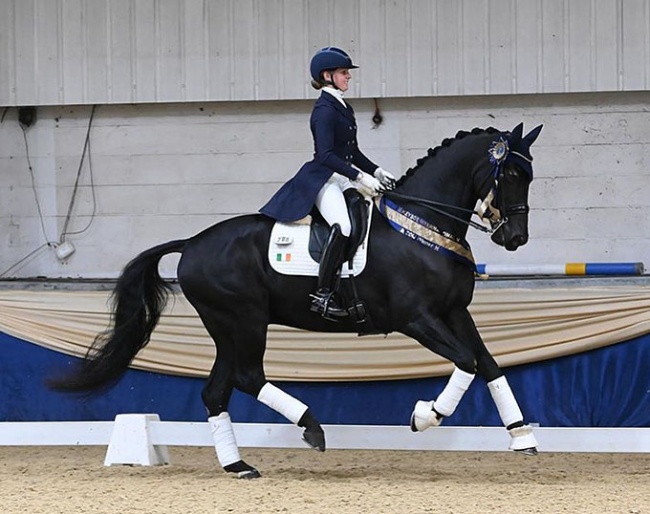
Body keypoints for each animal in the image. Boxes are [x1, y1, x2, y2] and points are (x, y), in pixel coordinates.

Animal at [49, 122, 540, 474]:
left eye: (530, 175)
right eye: (513, 174)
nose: (515, 237)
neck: (423, 223)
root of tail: (191, 243)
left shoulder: (454, 311)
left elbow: (487, 364)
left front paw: (522, 437)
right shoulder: (416, 318)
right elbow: (467, 362)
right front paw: (426, 416)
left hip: (227, 327)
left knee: (216, 390)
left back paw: (238, 466)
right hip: (243, 319)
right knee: (247, 377)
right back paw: (312, 428)